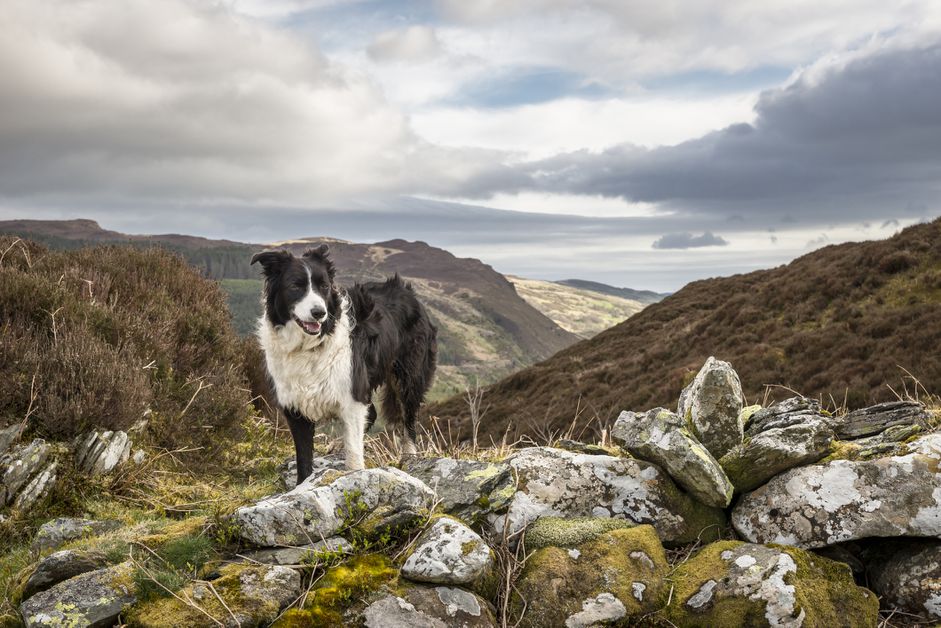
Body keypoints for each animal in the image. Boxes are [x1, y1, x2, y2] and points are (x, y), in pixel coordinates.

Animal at [252, 244, 438, 480]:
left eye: (324, 286)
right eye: (295, 286)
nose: (319, 313)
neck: (309, 346)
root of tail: (408, 292)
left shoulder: (352, 397)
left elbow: (354, 454)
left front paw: (356, 475)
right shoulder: (295, 406)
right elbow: (304, 459)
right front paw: (303, 483)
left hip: (407, 377)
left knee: (409, 418)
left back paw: (410, 456)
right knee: (373, 414)